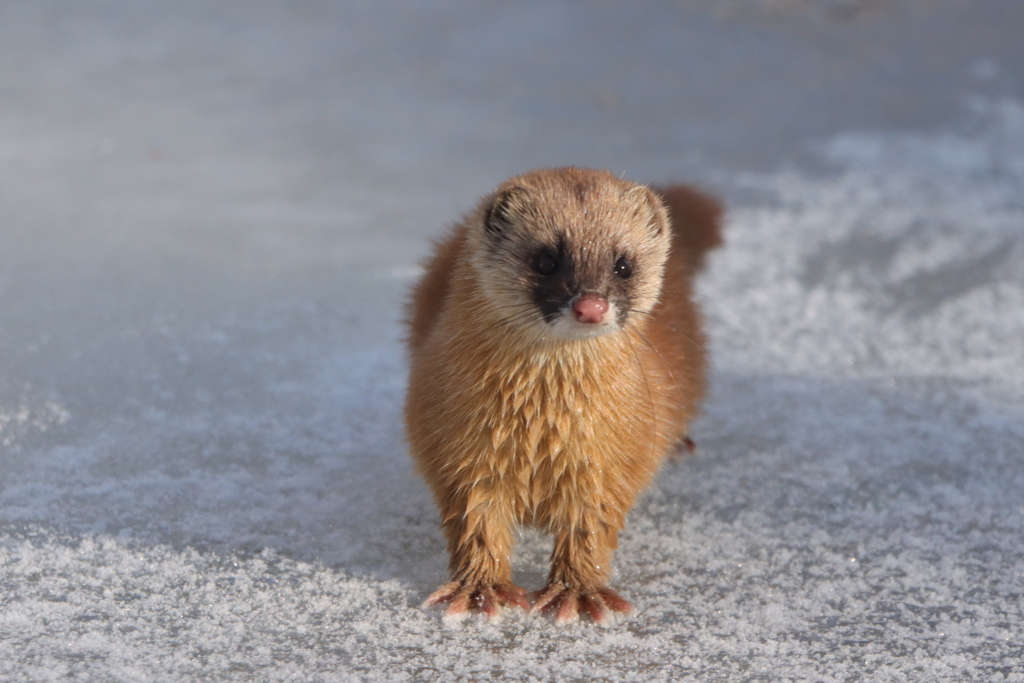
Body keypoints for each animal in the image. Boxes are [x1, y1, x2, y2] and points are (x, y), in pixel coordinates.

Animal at [403, 166, 724, 626]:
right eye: (545, 260)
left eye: (623, 264)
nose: (591, 305)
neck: (542, 427)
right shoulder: (457, 449)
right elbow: (477, 523)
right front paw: (481, 590)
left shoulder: (611, 457)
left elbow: (589, 527)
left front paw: (577, 593)